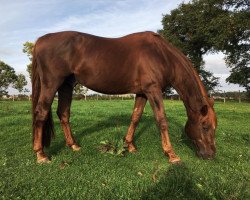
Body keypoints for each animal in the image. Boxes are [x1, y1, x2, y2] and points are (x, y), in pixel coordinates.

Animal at [32, 30, 217, 163]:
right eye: (205, 126)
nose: (210, 155)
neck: (161, 54)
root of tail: (41, 40)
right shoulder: (153, 90)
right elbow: (161, 120)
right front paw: (171, 154)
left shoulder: (142, 92)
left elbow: (135, 117)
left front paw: (130, 145)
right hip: (51, 84)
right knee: (41, 113)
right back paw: (41, 155)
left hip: (66, 85)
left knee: (63, 113)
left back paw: (73, 145)